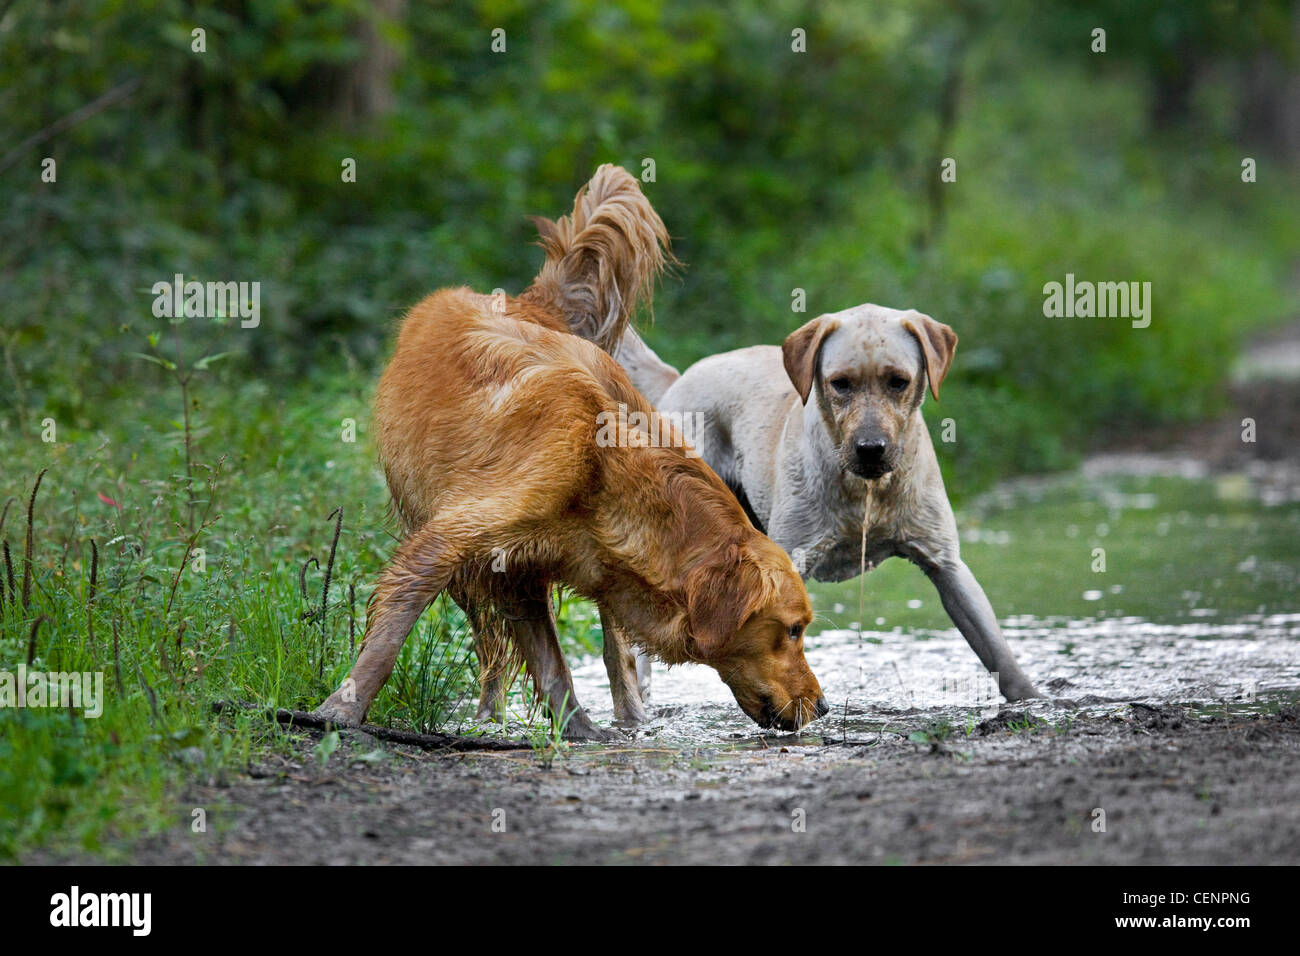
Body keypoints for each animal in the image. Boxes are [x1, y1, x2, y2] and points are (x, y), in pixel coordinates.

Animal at [312, 167, 821, 738]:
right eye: (793, 629)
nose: (823, 706)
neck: (601, 466)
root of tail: (525, 302)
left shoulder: (530, 573)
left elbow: (557, 662)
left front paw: (581, 731)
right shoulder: (449, 546)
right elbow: (390, 641)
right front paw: (340, 711)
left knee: (610, 649)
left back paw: (630, 719)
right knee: (490, 650)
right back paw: (488, 716)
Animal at [611, 303, 1045, 707]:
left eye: (898, 382)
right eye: (840, 384)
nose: (870, 448)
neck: (866, 490)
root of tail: (679, 379)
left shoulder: (946, 563)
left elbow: (995, 648)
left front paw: (1032, 701)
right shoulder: (790, 560)